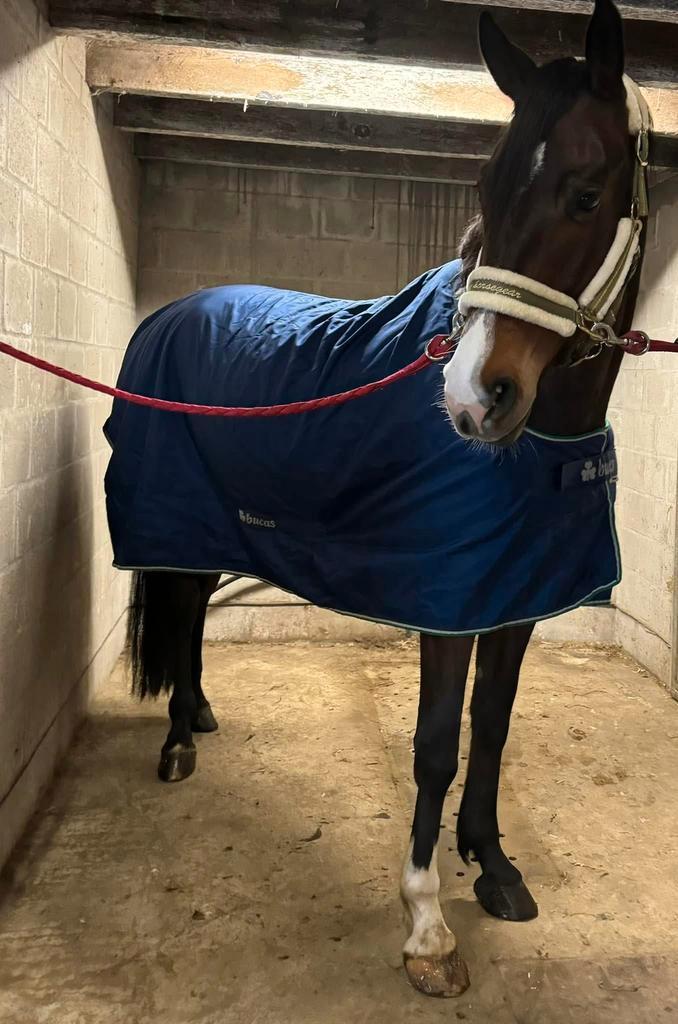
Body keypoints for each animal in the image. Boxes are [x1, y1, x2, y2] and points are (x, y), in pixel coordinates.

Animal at [105, 0, 650, 998]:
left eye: (587, 194)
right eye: (484, 185)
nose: (472, 399)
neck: (543, 446)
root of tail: (169, 314)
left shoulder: (513, 595)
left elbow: (492, 725)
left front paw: (494, 864)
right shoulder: (445, 600)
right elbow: (435, 743)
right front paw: (427, 925)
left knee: (192, 612)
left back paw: (196, 716)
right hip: (180, 520)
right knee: (187, 605)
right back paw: (176, 743)